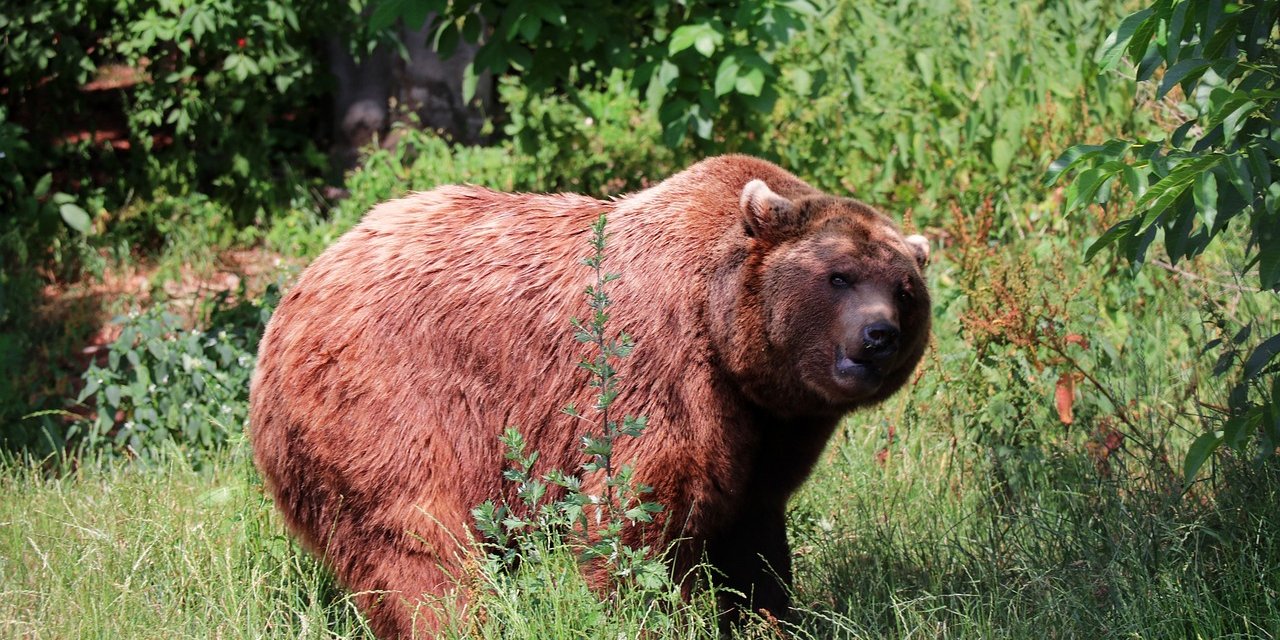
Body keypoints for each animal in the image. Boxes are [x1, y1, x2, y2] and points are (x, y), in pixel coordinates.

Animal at [249, 153, 931, 634]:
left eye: (903, 289)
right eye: (839, 276)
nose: (879, 336)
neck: (726, 332)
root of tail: (295, 295)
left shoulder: (771, 425)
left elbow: (752, 534)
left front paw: (765, 615)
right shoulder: (664, 377)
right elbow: (634, 518)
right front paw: (647, 610)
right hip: (386, 404)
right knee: (421, 547)